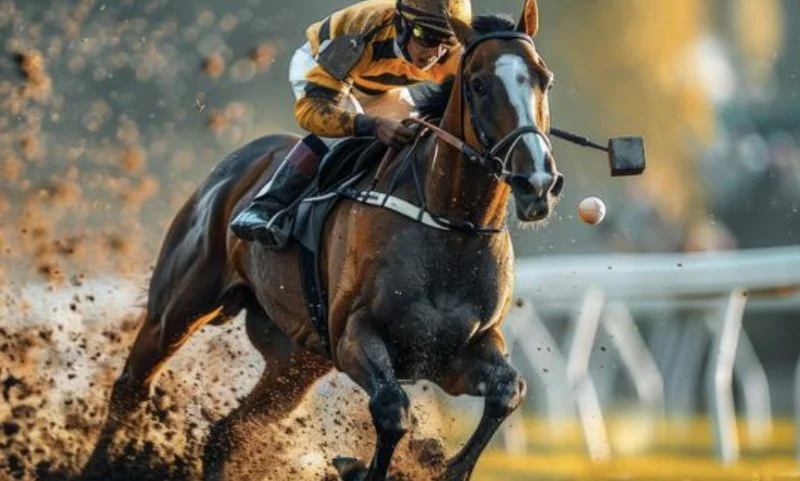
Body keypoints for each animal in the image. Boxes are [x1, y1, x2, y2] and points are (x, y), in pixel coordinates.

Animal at [85, 1, 563, 480]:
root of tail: (234, 166)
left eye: (545, 78)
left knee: (228, 432)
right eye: (479, 84)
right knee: (131, 388)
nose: (537, 182)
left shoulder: (461, 352)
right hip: (179, 308)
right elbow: (392, 410)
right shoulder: (354, 335)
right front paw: (357, 465)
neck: (451, 226)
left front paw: (443, 466)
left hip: (298, 359)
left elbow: (509, 390)